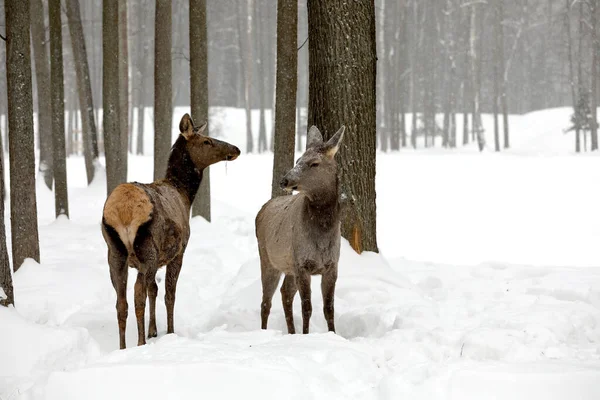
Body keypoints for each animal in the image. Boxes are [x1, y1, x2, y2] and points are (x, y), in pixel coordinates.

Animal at [101, 114, 239, 348]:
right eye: (207, 141)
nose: (236, 148)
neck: (185, 195)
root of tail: (123, 211)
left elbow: (154, 290)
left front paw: (153, 331)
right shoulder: (179, 251)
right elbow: (169, 293)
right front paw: (169, 331)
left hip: (115, 252)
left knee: (121, 301)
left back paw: (122, 347)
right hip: (148, 249)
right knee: (138, 294)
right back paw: (139, 343)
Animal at [254, 125, 346, 334]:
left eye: (314, 163)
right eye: (297, 160)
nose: (284, 180)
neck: (322, 233)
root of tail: (261, 210)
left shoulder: (332, 265)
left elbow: (329, 307)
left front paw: (333, 334)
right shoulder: (302, 263)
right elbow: (307, 307)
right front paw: (306, 335)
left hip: (289, 266)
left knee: (285, 292)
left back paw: (291, 332)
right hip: (268, 259)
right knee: (266, 301)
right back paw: (264, 331)